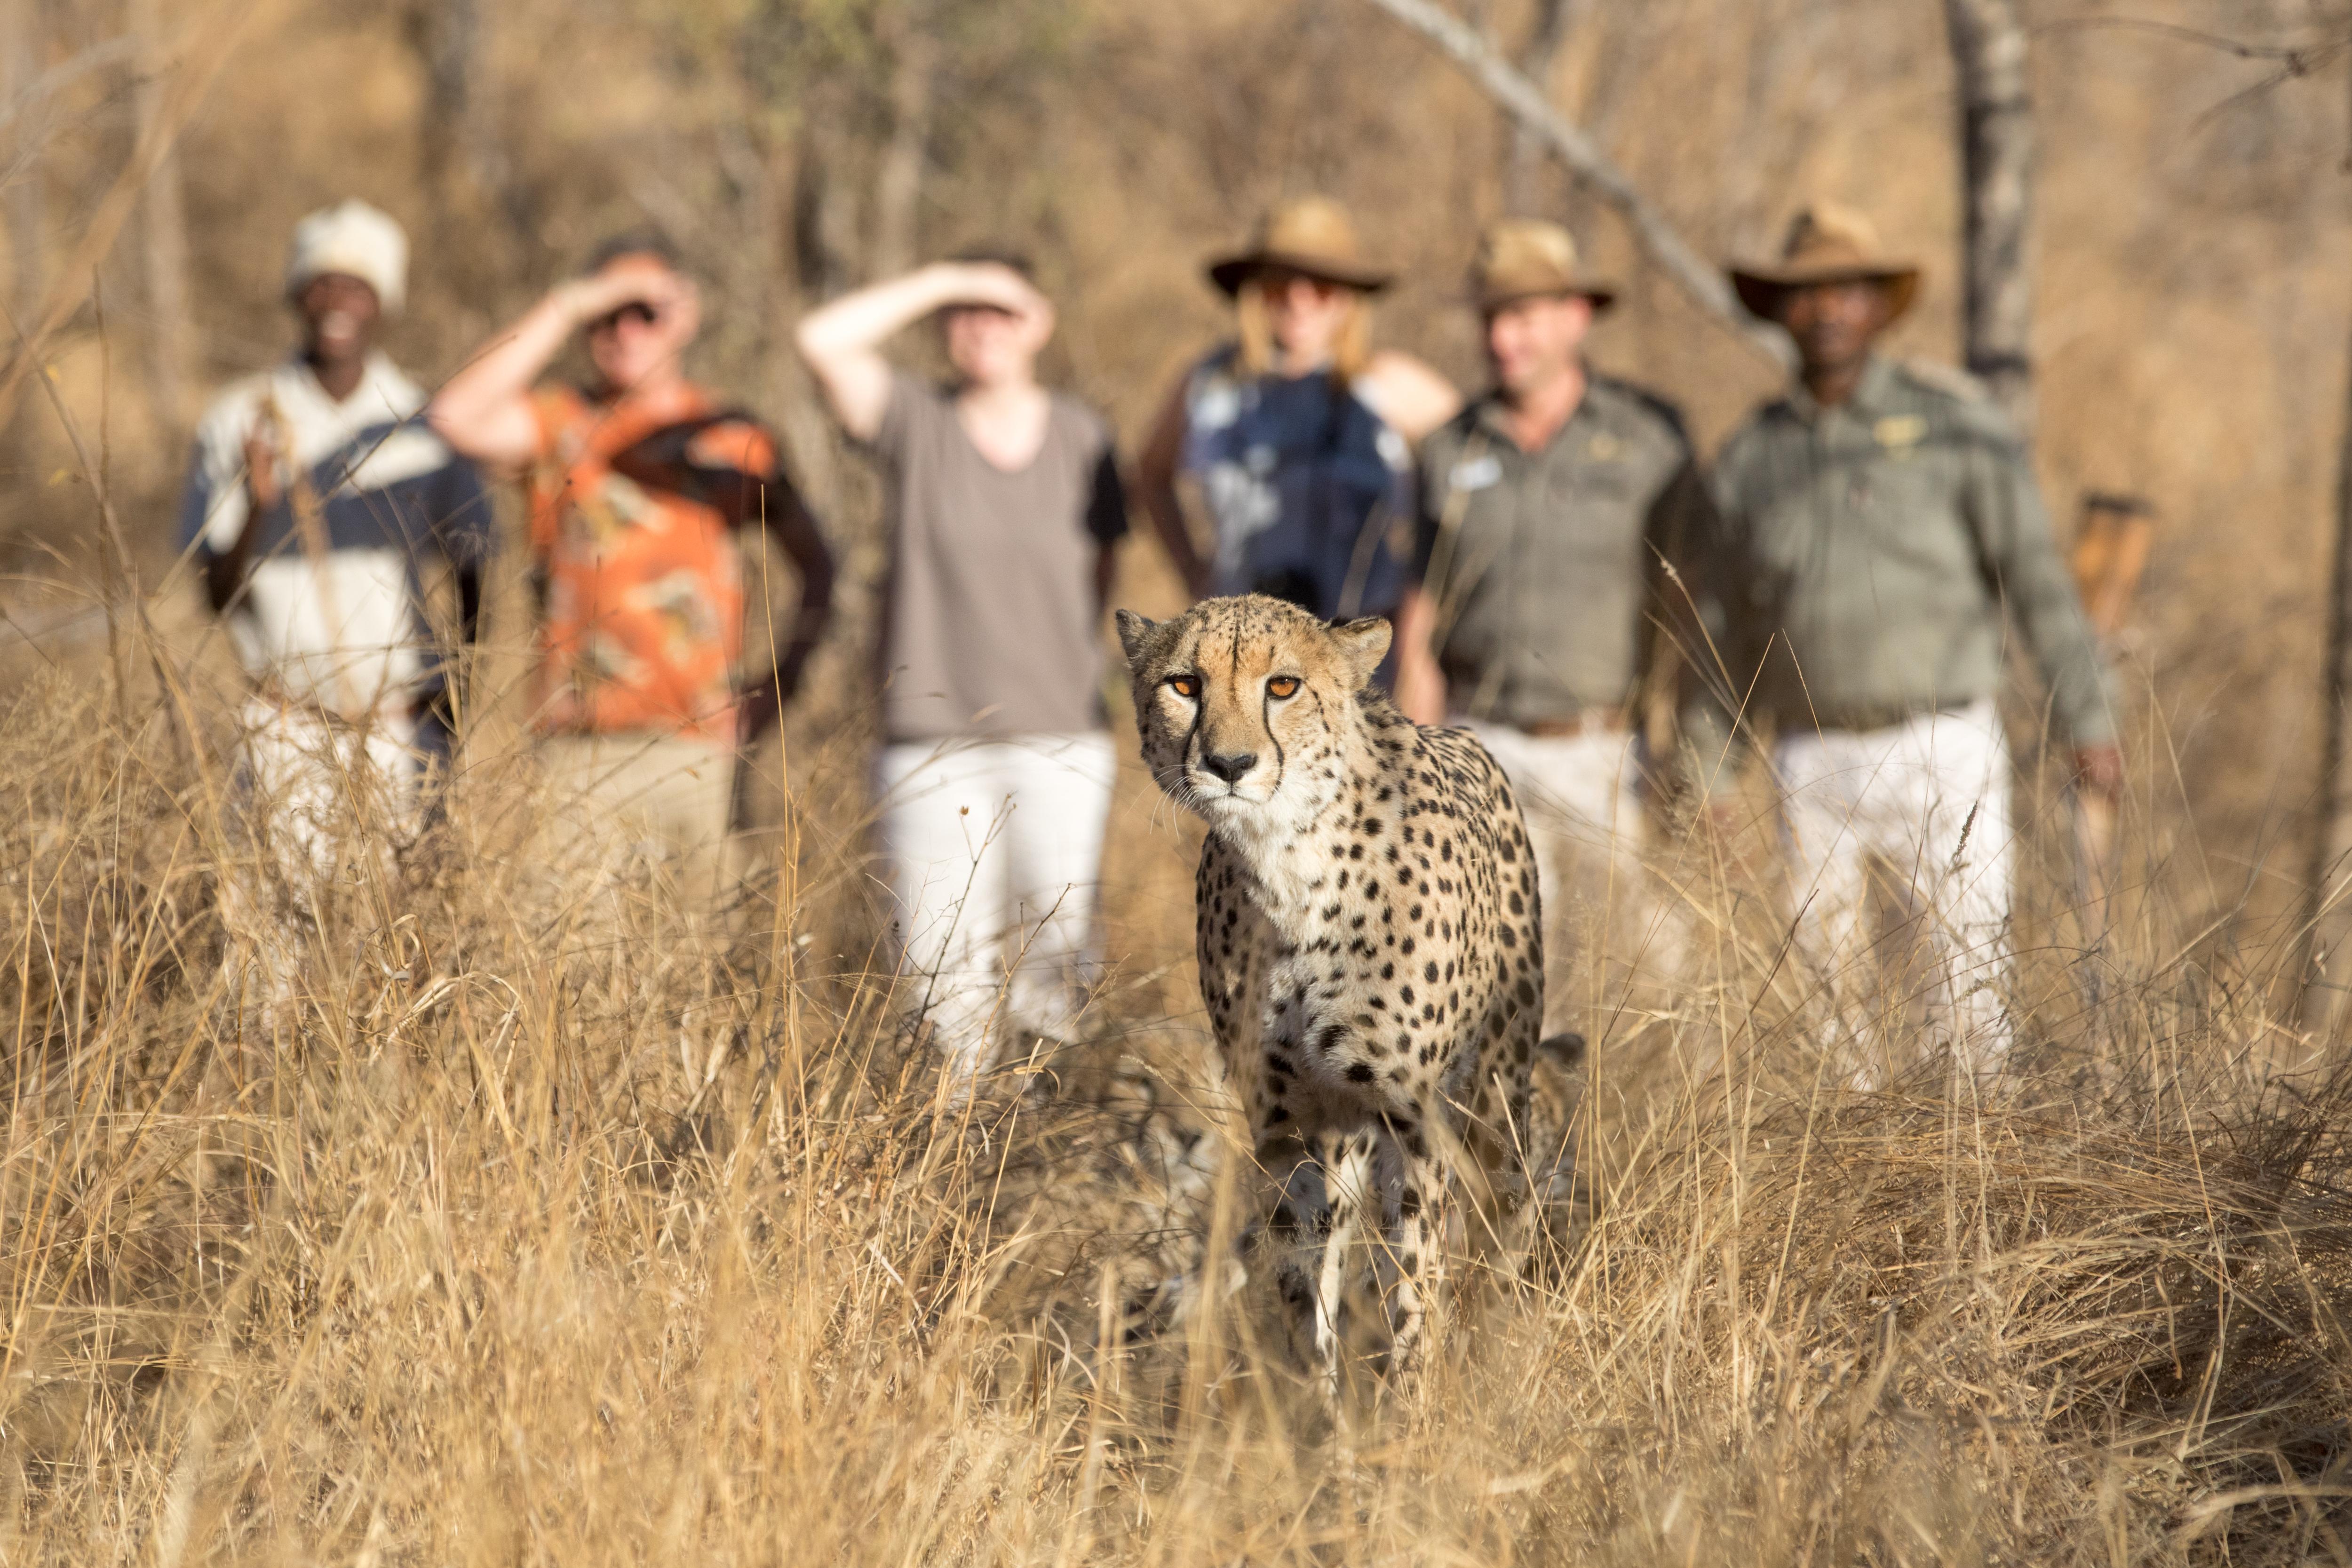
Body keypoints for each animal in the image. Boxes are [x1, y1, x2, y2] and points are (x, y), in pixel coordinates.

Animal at [1115, 592, 1562, 1382]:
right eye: (1185, 685)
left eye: (1284, 686)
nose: (1229, 763)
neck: (1290, 866)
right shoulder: (1286, 1123)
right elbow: (1301, 1279)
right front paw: (1315, 1402)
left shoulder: (1416, 1122)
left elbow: (1412, 1285)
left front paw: (1409, 1397)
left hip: (1494, 1099)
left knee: (1505, 1218)